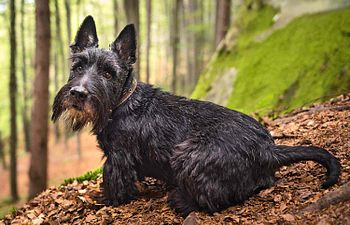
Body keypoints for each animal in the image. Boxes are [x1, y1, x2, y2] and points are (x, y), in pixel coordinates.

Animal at [53, 15, 340, 216]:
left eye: (108, 73)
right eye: (77, 66)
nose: (78, 93)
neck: (122, 101)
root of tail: (269, 149)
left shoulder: (118, 159)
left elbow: (115, 184)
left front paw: (103, 201)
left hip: (188, 154)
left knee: (213, 198)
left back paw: (180, 199)